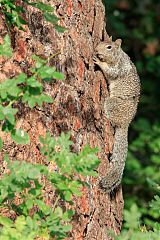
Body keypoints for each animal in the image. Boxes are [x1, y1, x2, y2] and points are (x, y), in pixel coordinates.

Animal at [94, 36, 140, 192]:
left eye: (109, 47)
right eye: (100, 42)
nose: (96, 50)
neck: (119, 56)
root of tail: (126, 123)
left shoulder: (118, 69)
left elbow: (110, 72)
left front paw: (99, 62)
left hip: (112, 103)